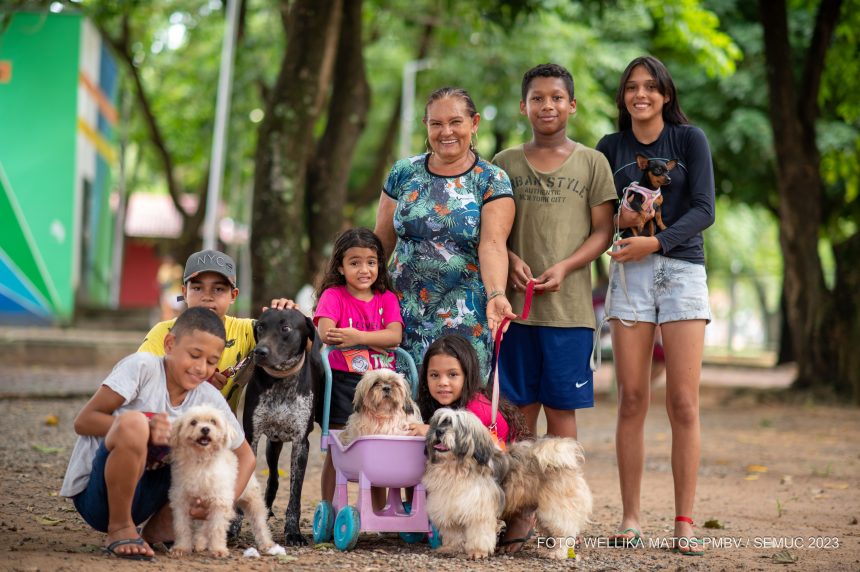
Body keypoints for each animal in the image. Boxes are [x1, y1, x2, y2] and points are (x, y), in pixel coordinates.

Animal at [169, 404, 286, 556]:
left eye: (213, 421)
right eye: (193, 422)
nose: (205, 429)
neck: (202, 462)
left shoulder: (219, 502)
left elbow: (217, 528)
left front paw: (218, 549)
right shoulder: (181, 501)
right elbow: (182, 527)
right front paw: (181, 548)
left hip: (252, 500)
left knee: (260, 523)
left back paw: (266, 544)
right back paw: (200, 542)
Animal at [235, 308, 322, 544]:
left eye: (285, 328)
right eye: (260, 327)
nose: (259, 352)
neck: (282, 381)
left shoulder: (301, 444)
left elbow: (295, 494)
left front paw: (293, 532)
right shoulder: (252, 437)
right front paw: (233, 528)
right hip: (272, 445)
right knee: (273, 478)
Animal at [422, 408, 592, 560]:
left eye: (454, 426)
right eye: (438, 423)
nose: (439, 432)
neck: (457, 466)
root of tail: (563, 460)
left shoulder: (479, 509)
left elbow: (479, 533)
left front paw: (477, 552)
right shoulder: (449, 505)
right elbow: (454, 533)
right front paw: (451, 548)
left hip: (555, 508)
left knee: (565, 532)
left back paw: (558, 553)